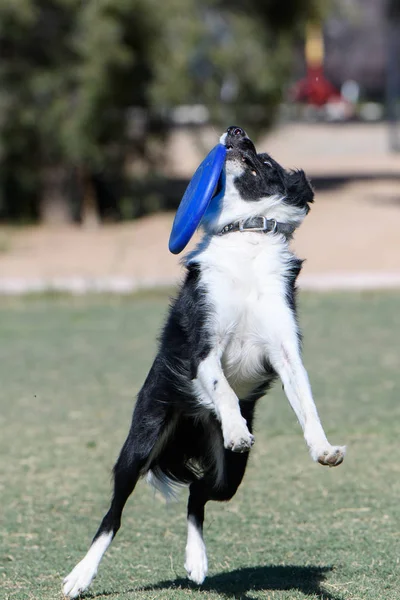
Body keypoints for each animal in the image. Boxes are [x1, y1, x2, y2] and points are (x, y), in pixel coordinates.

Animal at [62, 124, 344, 596]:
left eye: (265, 159)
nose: (235, 130)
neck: (246, 235)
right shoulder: (203, 349)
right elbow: (223, 391)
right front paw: (237, 428)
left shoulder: (286, 351)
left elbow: (307, 405)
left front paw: (323, 449)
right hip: (141, 443)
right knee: (113, 515)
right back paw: (80, 576)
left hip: (230, 476)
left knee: (198, 494)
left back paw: (196, 561)